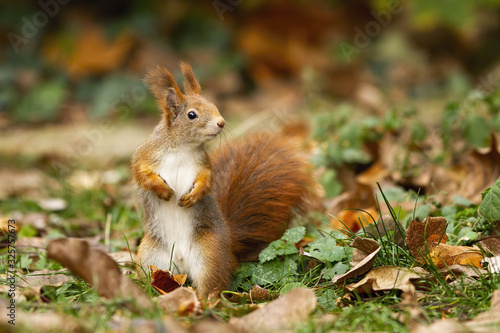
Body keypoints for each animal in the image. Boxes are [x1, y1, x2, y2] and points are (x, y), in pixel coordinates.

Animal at [133, 63, 320, 298]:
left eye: (214, 105)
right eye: (192, 115)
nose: (221, 122)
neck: (182, 147)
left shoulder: (204, 165)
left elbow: (206, 182)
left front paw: (193, 196)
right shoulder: (145, 155)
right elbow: (141, 174)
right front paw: (162, 190)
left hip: (210, 254)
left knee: (212, 285)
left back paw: (203, 301)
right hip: (150, 257)